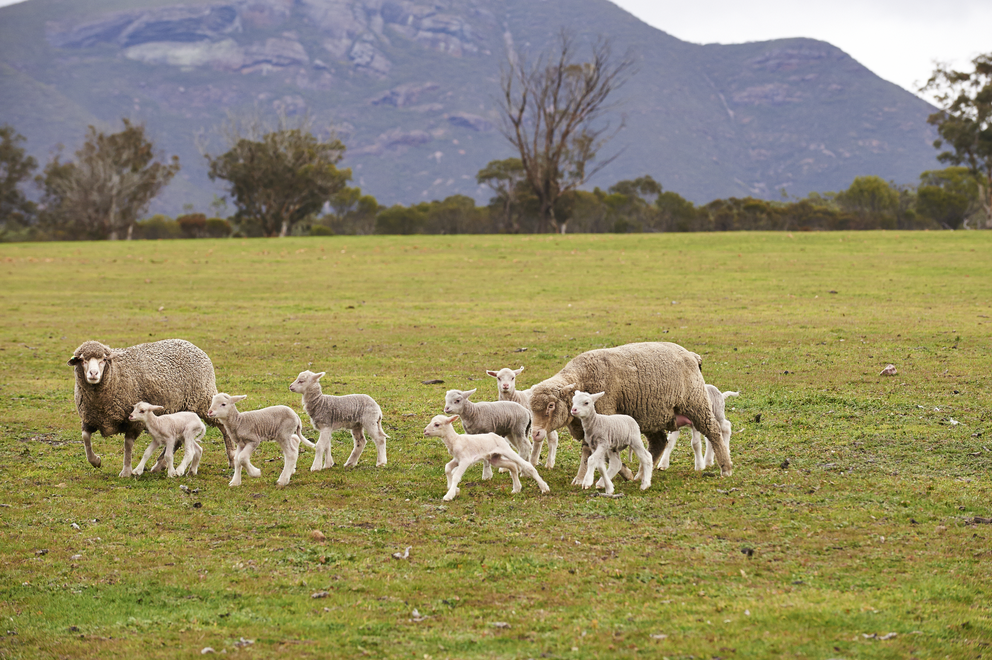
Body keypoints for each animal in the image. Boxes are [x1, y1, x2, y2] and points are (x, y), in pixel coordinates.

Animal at [68, 339, 236, 477]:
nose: (93, 373)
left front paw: (126, 471)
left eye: (103, 359)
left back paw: (232, 457)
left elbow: (128, 447)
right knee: (177, 441)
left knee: (223, 426)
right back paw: (160, 465)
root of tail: (191, 345)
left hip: (204, 399)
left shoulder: (134, 422)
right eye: (82, 360)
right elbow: (85, 438)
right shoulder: (89, 418)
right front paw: (96, 461)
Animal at [528, 342, 733, 483]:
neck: (582, 377)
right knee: (659, 442)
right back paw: (641, 474)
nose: (535, 433)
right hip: (650, 414)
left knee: (713, 430)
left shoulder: (604, 415)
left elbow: (594, 451)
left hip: (695, 402)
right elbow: (590, 450)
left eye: (551, 406)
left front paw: (586, 477)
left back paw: (726, 468)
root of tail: (692, 355)